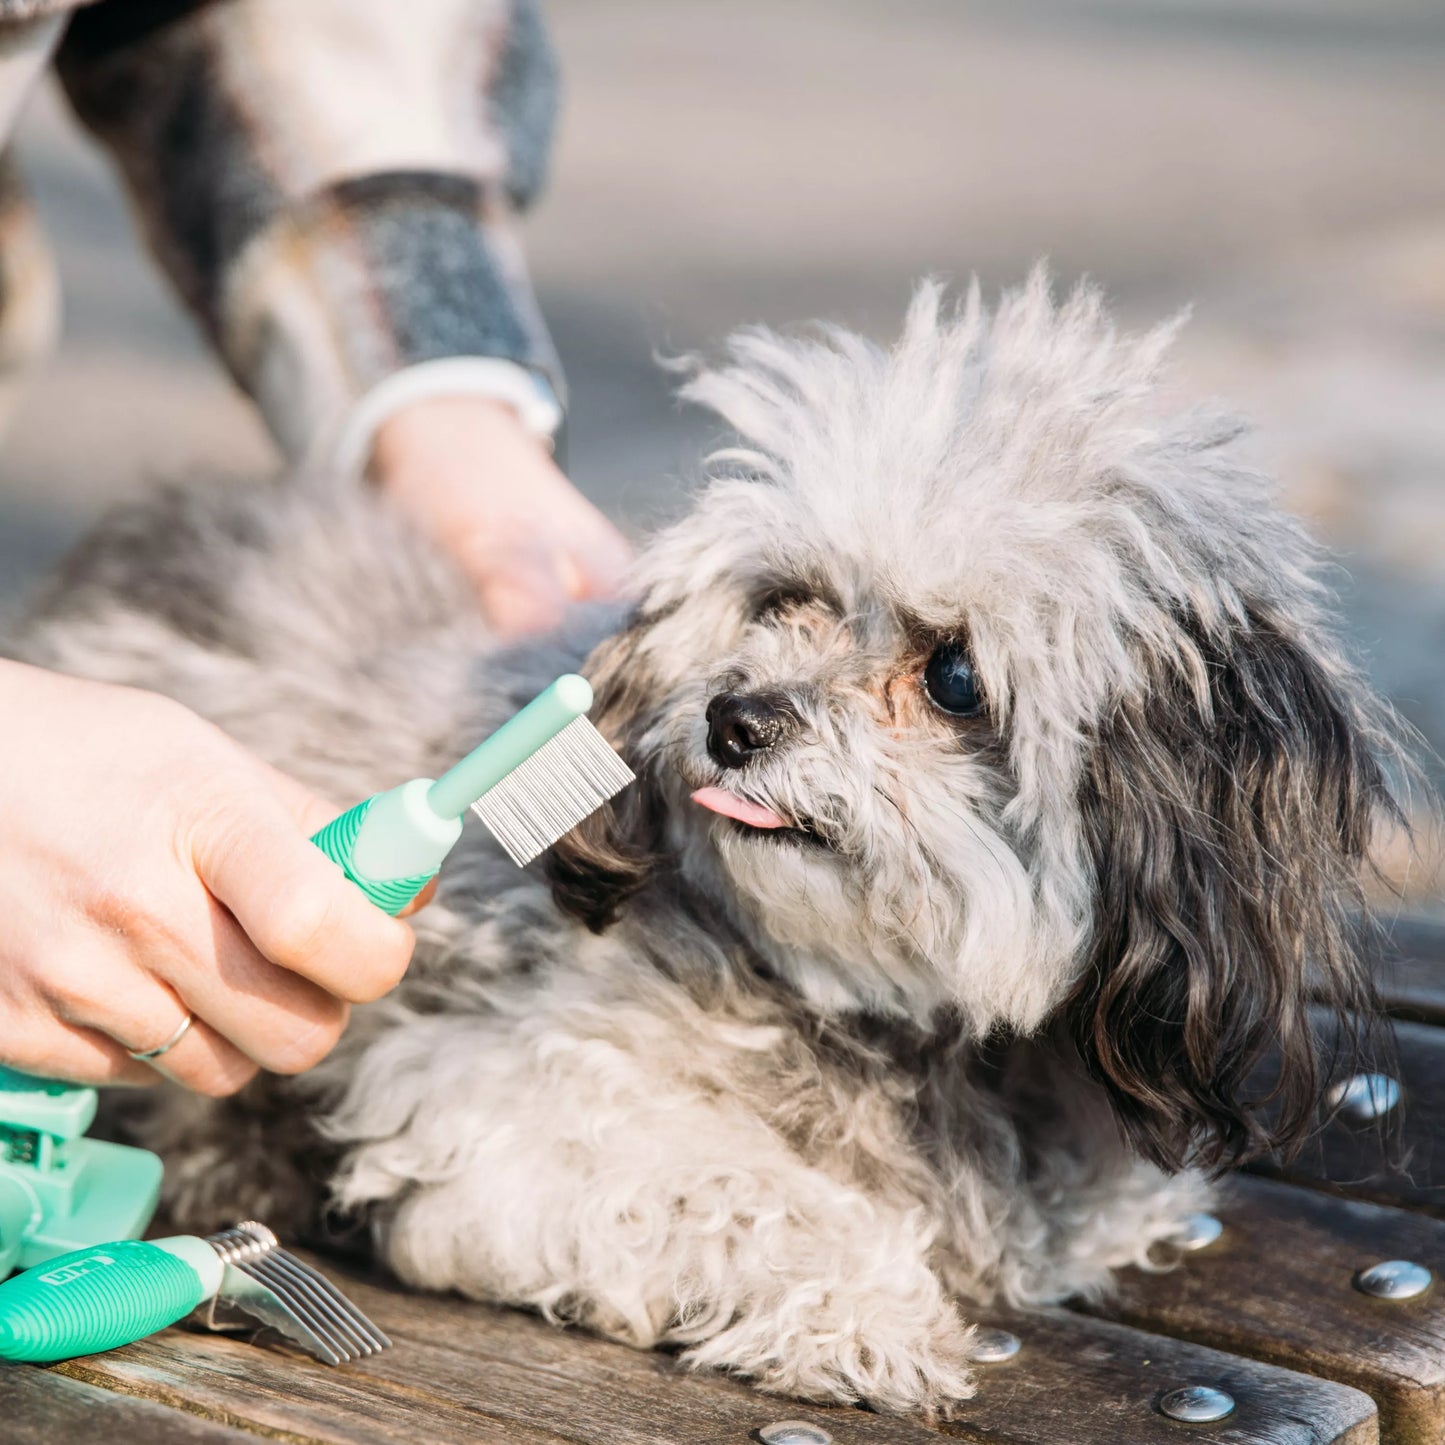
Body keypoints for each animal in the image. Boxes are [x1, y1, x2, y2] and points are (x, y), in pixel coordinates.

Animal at [11, 271, 1404, 1410]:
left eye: (953, 675)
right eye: (785, 599)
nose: (735, 719)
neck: (871, 1006)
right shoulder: (495, 1102)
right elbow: (738, 1189)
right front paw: (864, 1306)